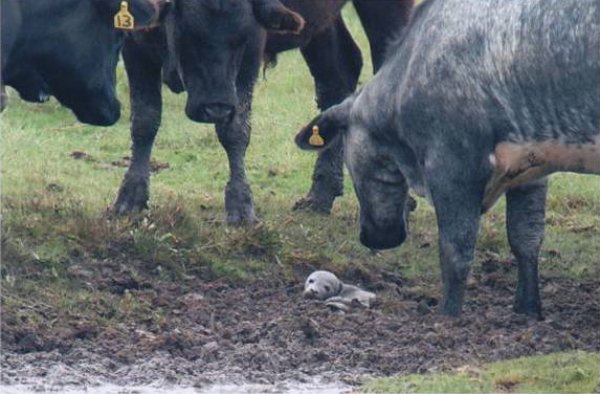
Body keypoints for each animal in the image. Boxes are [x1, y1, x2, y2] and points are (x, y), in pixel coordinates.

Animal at [111, 0, 412, 222]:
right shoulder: (135, 45)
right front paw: (129, 199)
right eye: (188, 33)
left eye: (241, 38)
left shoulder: (251, 54)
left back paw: (399, 200)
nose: (216, 107)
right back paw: (319, 196)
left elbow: (235, 131)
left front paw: (241, 206)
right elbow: (144, 122)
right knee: (337, 75)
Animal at [296, 0, 600, 318]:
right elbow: (526, 237)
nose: (373, 237)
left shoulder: (452, 166)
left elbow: (456, 250)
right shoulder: (530, 163)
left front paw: (448, 315)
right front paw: (526, 309)